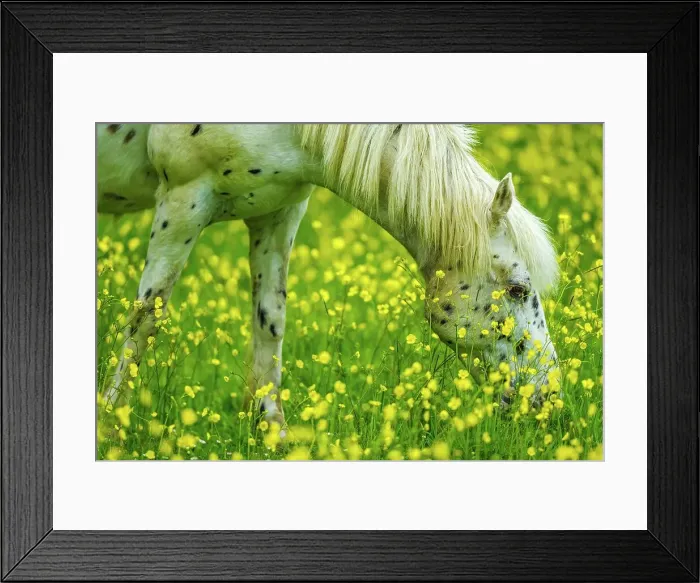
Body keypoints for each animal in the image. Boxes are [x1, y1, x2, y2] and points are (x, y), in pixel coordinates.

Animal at [97, 123, 560, 429]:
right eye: (517, 289)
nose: (548, 396)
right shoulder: (183, 200)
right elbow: (145, 319)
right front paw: (112, 424)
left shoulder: (279, 211)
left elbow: (270, 322)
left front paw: (273, 431)